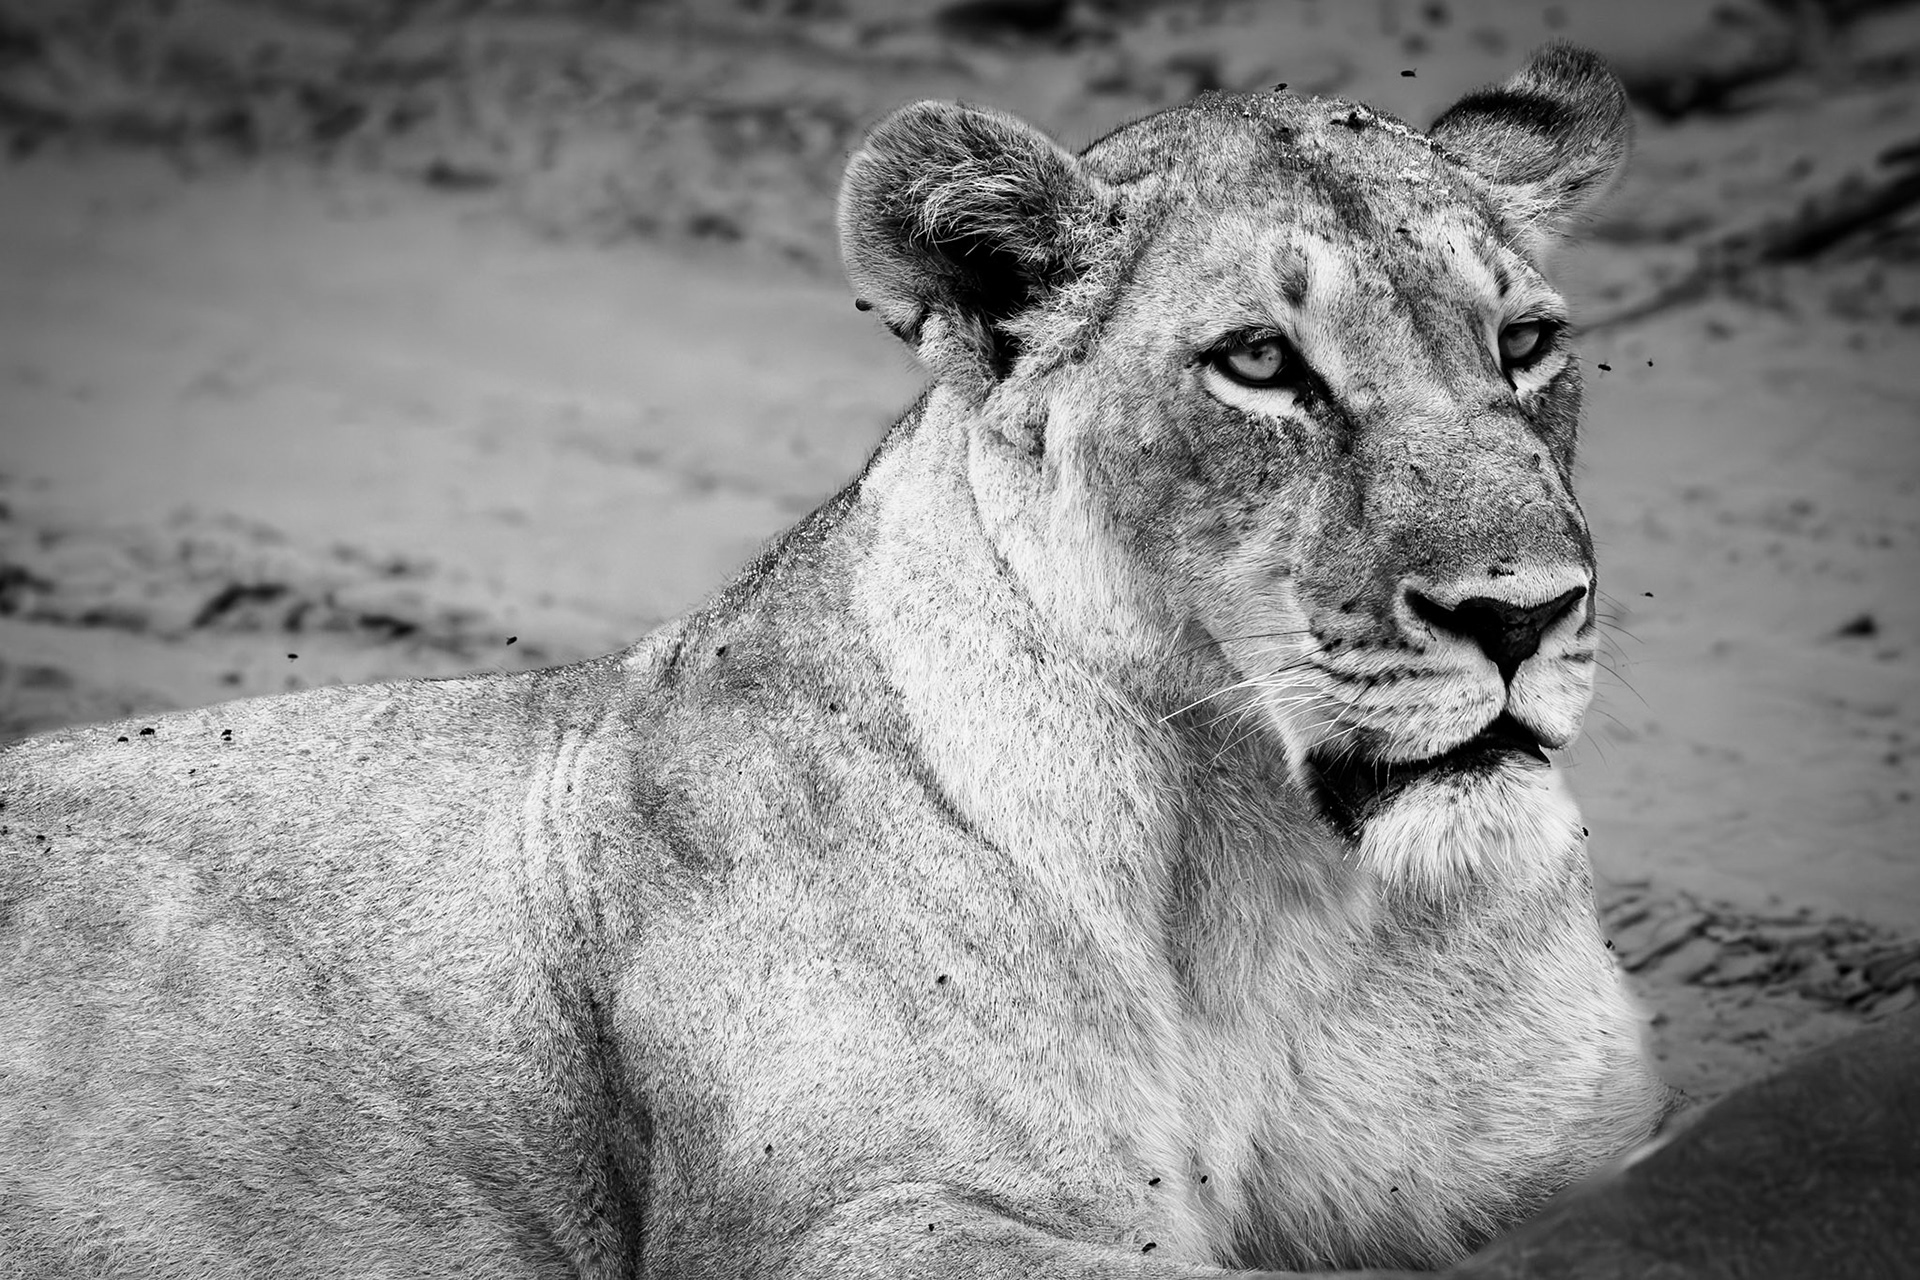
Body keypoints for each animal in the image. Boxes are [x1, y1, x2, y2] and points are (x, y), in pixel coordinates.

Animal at [0, 44, 1676, 1278]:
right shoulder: (851, 1220)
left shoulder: (1588, 1153)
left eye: (1526, 344)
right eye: (1260, 365)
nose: (1522, 613)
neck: (1283, 890)